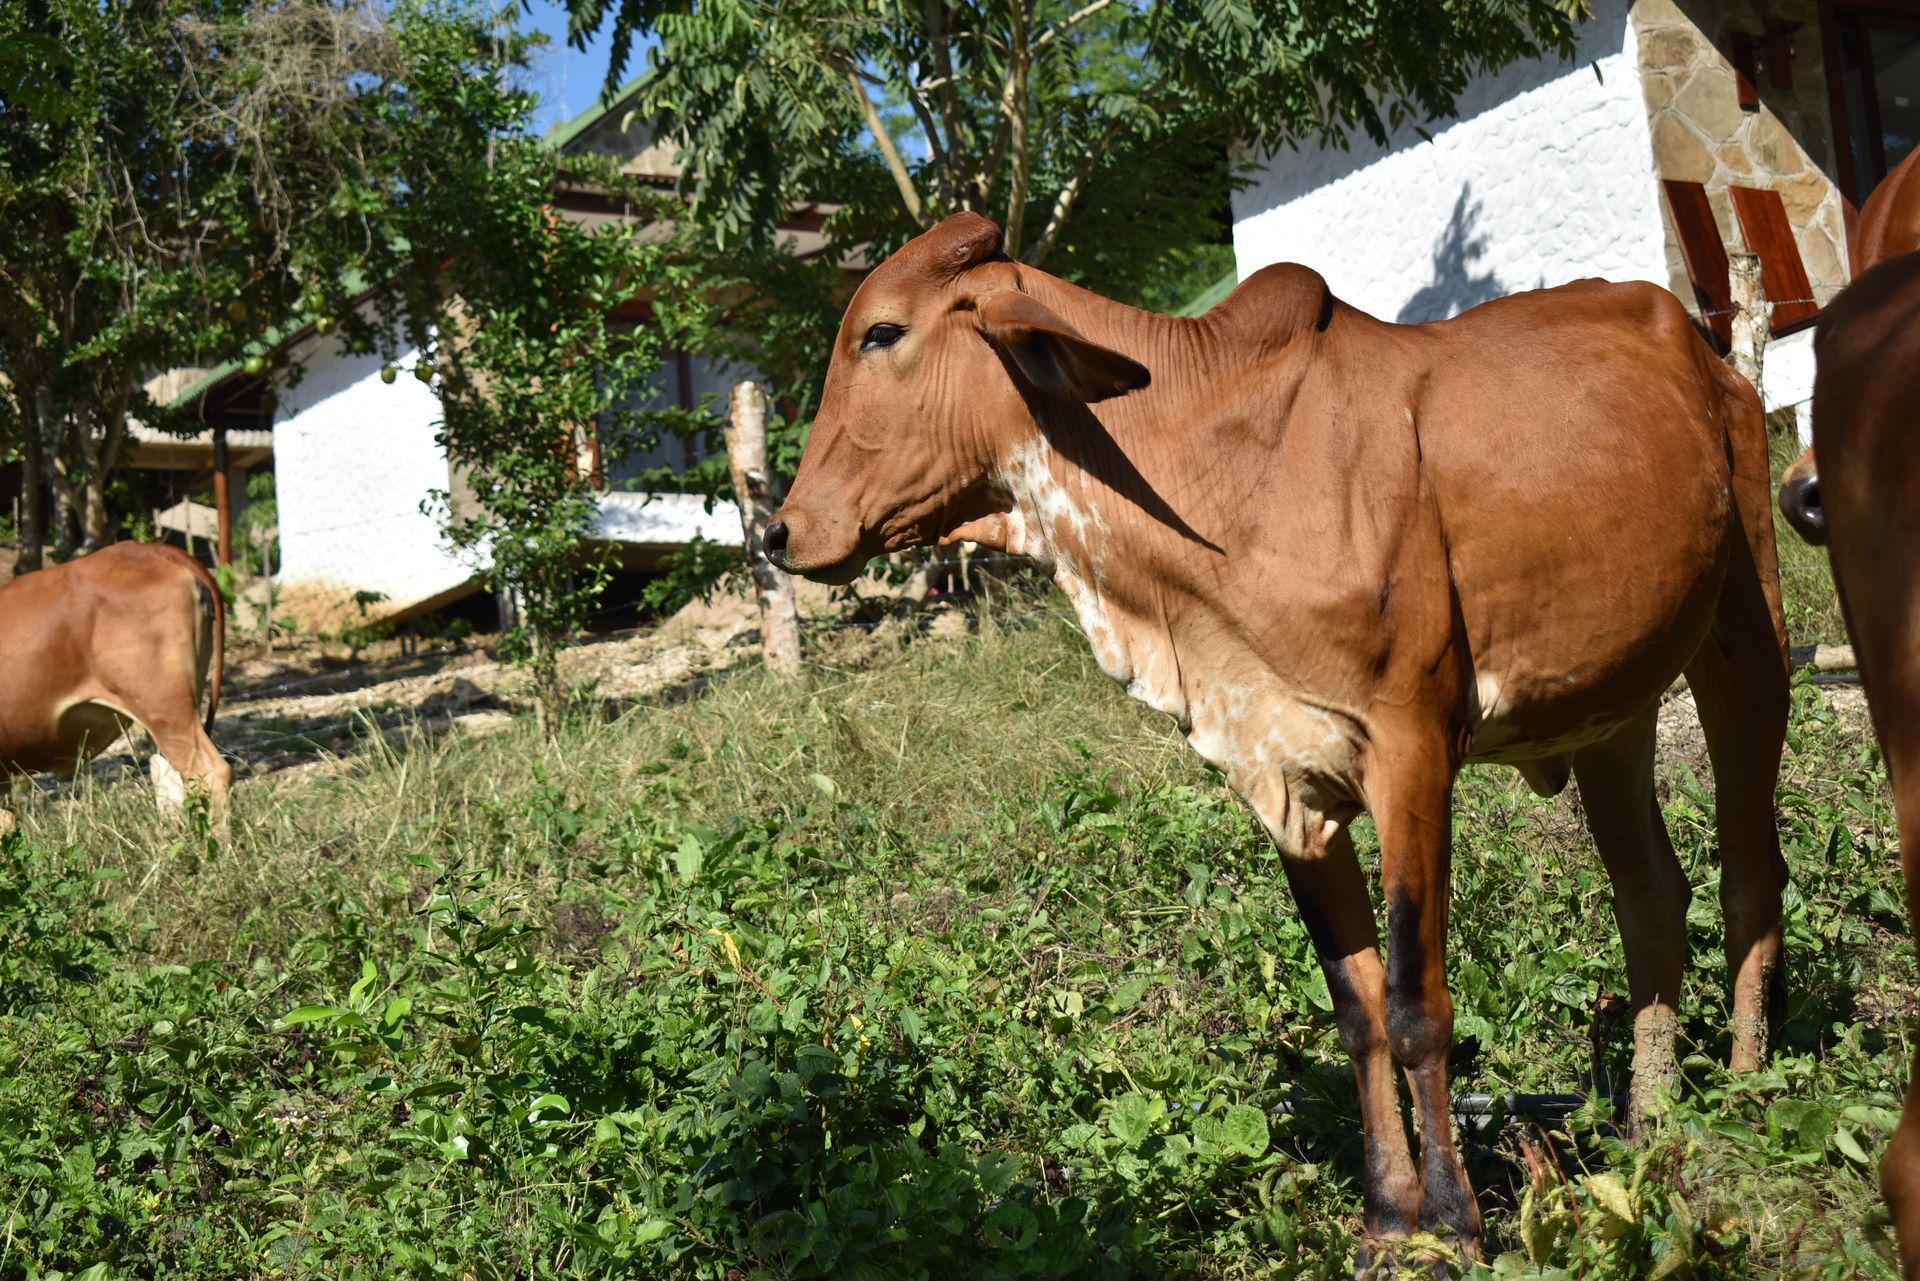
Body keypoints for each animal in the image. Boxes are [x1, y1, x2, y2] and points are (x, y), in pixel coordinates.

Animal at [765, 212, 1789, 1267]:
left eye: (882, 333)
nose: (780, 529)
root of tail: (1710, 355)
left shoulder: (1412, 748)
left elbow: (1417, 1005)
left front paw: (1453, 1225)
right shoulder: (1282, 783)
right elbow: (1358, 1010)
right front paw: (1387, 1219)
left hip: (1748, 634)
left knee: (1751, 873)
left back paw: (1745, 1092)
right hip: (1609, 713)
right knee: (1651, 896)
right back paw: (1650, 1123)